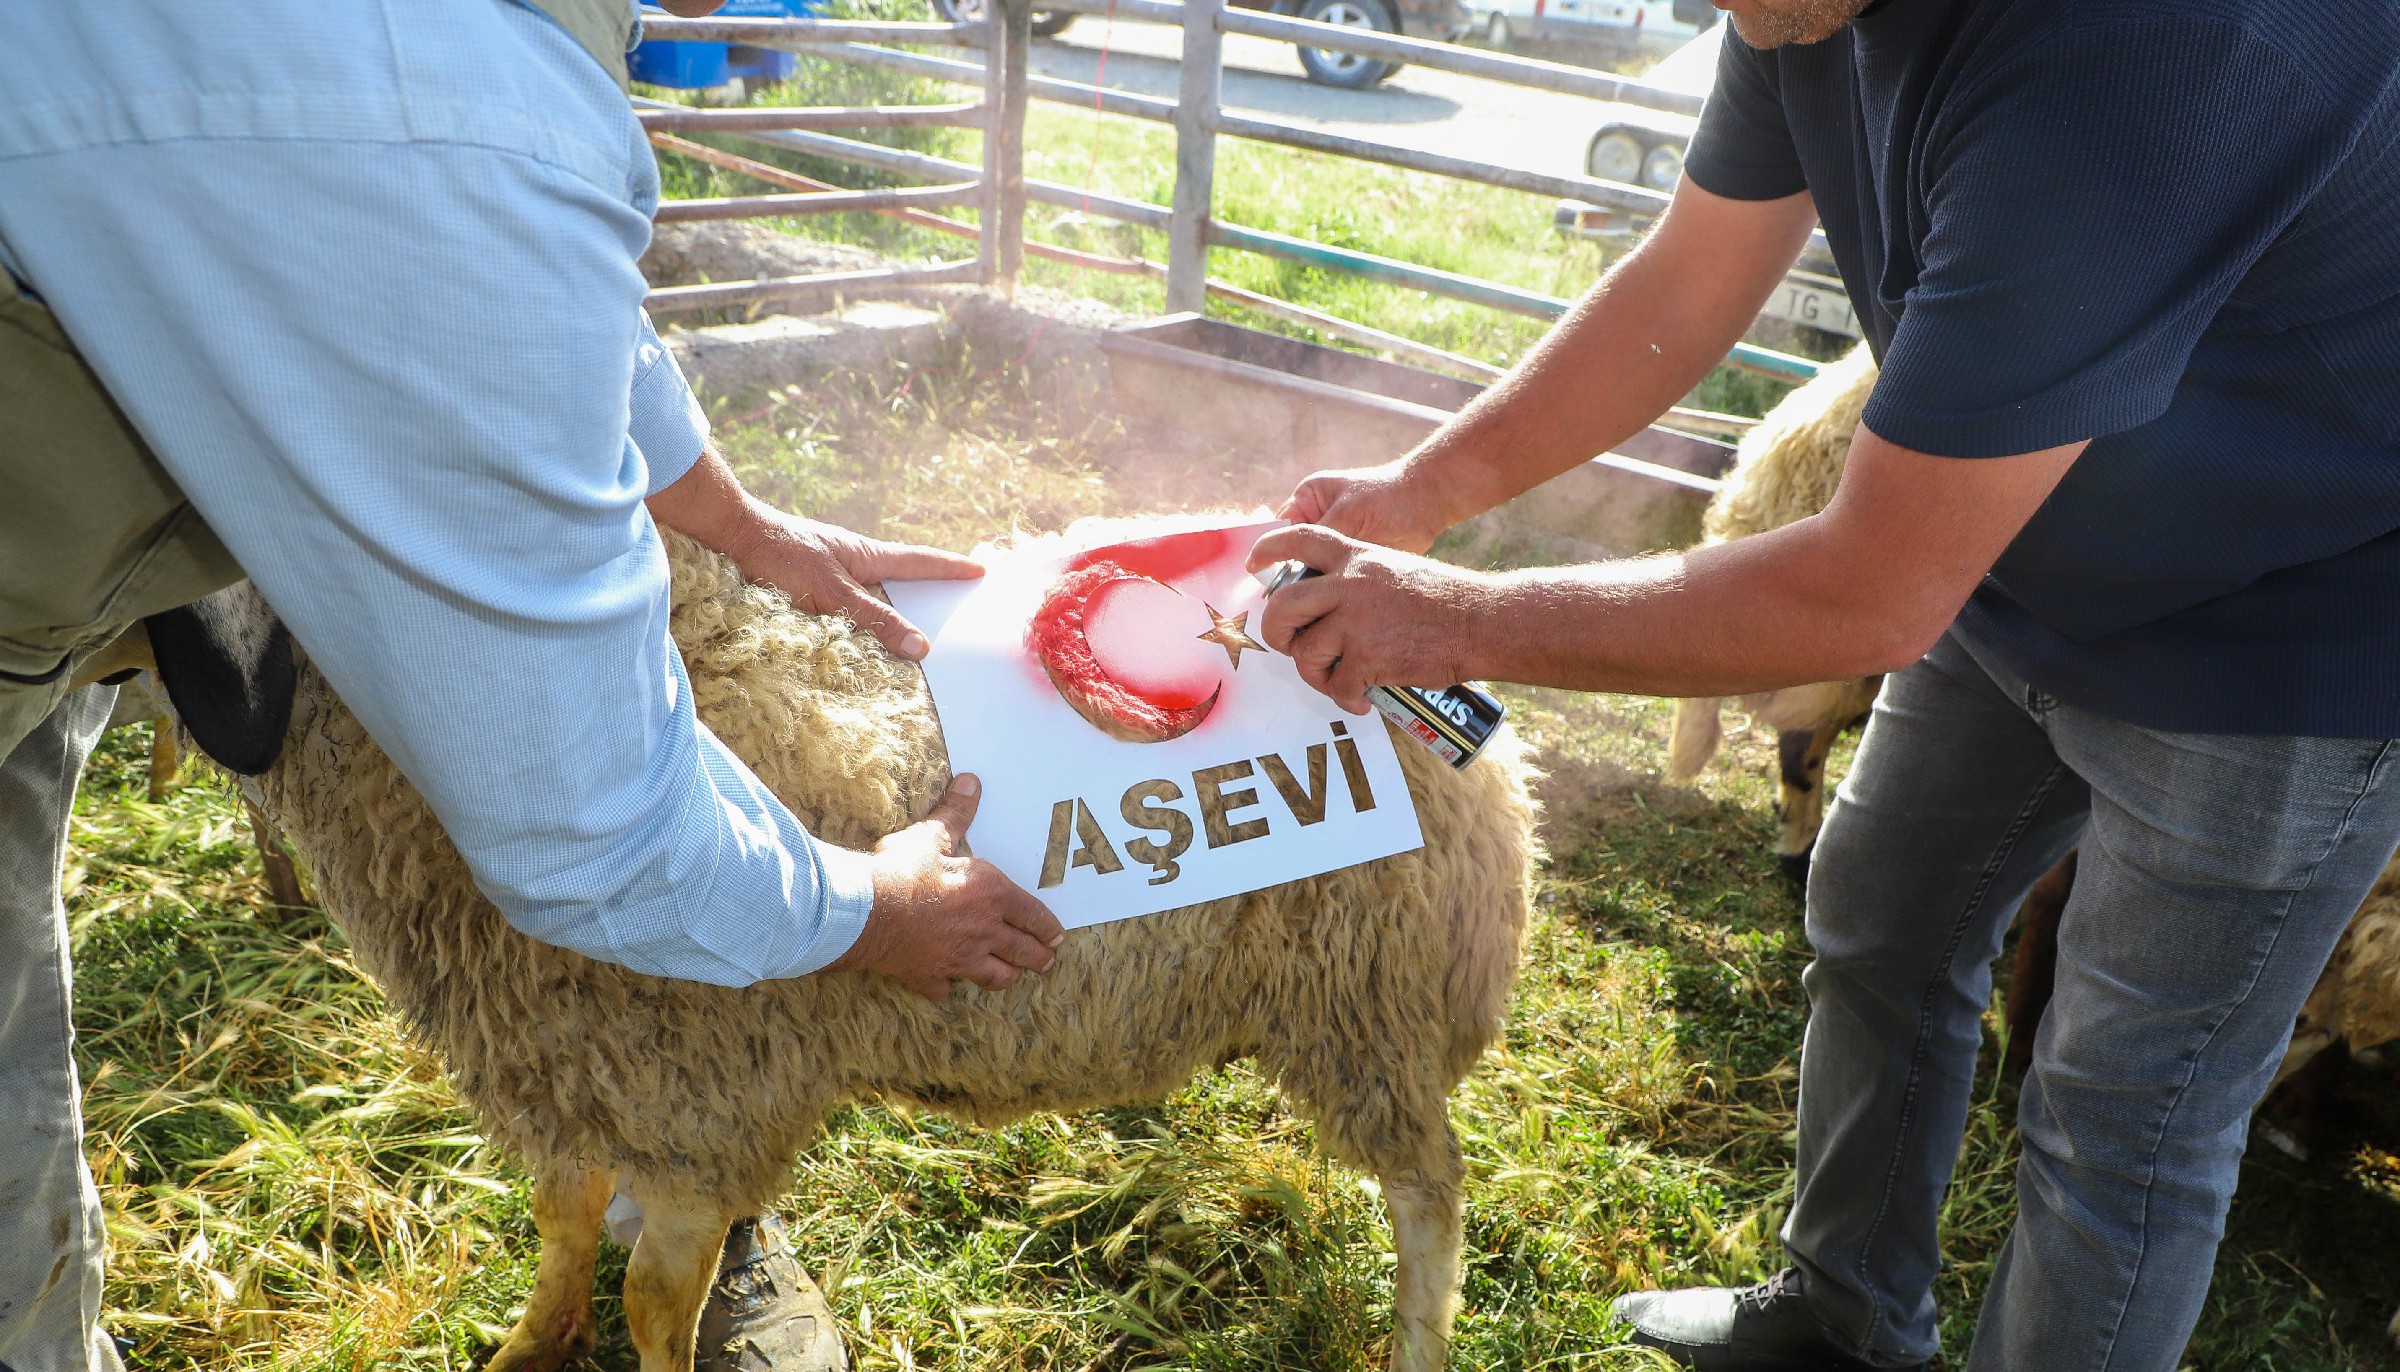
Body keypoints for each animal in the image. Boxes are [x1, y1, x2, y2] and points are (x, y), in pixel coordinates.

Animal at [229, 520, 1536, 1362]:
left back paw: (1419, 1345)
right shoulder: (580, 1054)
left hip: (1368, 1007)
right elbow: (562, 1220)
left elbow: (658, 1299)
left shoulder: (703, 1095)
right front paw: (529, 1344)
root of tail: (1499, 771)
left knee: (1430, 1194)